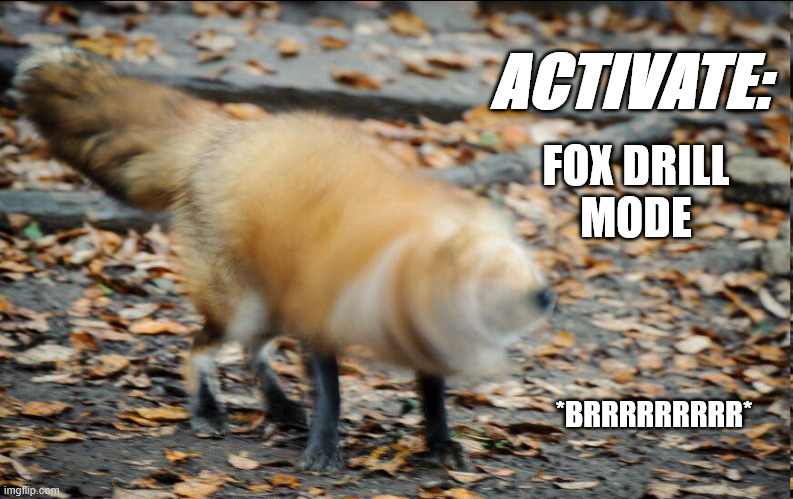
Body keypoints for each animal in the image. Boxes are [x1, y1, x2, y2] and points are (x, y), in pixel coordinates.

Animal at [13, 47, 555, 472]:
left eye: (527, 265)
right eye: (490, 275)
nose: (546, 296)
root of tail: (227, 132)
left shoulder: (421, 338)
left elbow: (433, 398)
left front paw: (440, 443)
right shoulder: (317, 321)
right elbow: (331, 396)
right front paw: (324, 449)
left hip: (271, 308)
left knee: (252, 353)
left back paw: (277, 406)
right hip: (245, 306)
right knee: (199, 350)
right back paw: (208, 411)